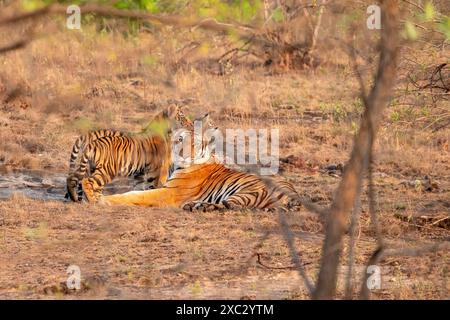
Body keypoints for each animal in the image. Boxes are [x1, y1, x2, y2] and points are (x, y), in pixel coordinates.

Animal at [100, 121, 300, 211]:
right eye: (180, 140)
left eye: (194, 143)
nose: (183, 154)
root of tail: (295, 194)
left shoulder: (169, 193)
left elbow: (136, 195)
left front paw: (105, 199)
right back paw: (195, 205)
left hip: (248, 191)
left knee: (230, 206)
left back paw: (198, 206)